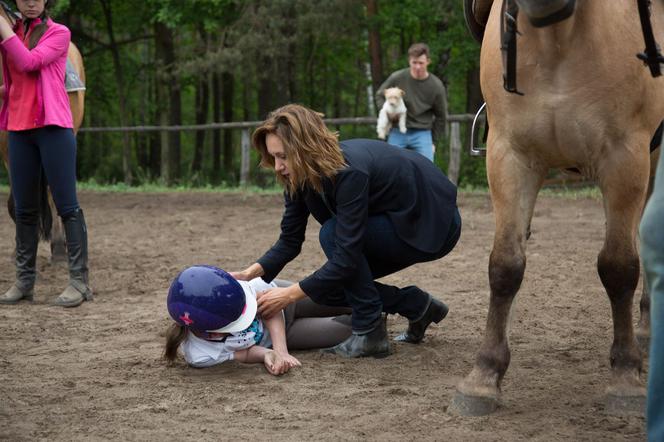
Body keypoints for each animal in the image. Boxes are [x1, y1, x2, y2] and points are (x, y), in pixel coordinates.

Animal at [454, 0, 664, 416]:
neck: (555, 34)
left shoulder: (625, 158)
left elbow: (618, 267)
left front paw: (625, 376)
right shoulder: (510, 156)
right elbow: (505, 265)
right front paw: (484, 375)